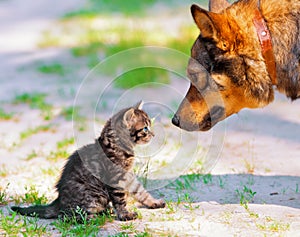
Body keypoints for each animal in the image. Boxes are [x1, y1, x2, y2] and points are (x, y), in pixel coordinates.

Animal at [11, 102, 165, 222]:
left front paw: (154, 202)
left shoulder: (128, 176)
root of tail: (58, 201)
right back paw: (95, 218)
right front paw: (125, 215)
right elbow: (120, 200)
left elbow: (140, 191)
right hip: (92, 196)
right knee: (67, 216)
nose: (153, 135)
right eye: (145, 128)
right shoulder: (115, 178)